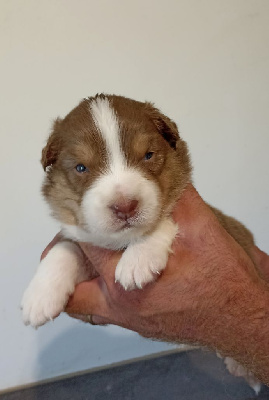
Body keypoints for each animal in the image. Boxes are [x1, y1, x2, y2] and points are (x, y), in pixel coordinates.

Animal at [21, 94, 260, 394]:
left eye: (148, 155)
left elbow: (164, 218)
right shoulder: (84, 238)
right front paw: (38, 297)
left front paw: (138, 261)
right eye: (81, 168)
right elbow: (65, 247)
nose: (125, 206)